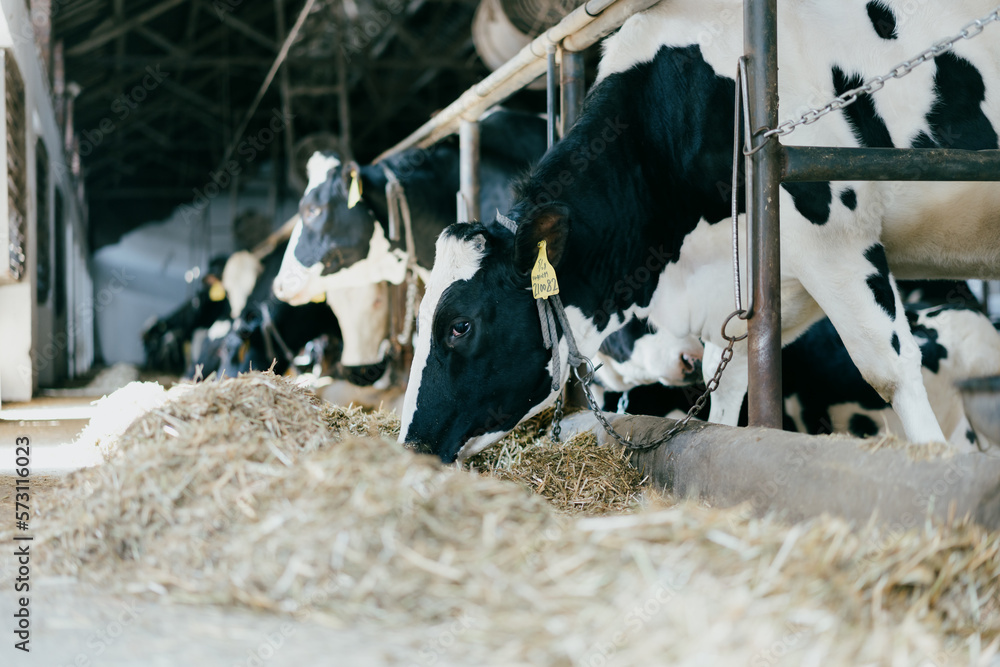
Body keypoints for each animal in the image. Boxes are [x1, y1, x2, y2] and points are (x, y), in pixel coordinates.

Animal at [400, 0, 1000, 462]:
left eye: (459, 326)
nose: (410, 444)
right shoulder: (757, 291)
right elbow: (726, 384)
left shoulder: (838, 234)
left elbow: (891, 370)